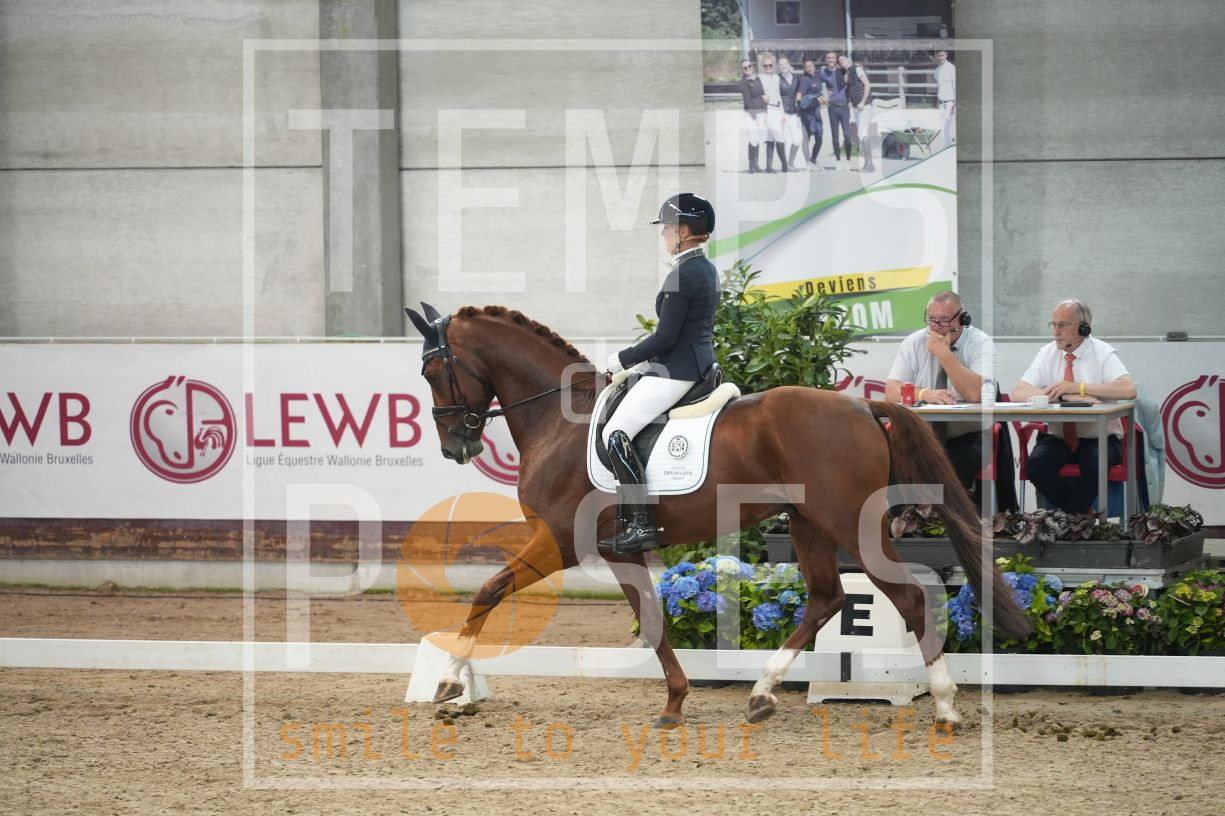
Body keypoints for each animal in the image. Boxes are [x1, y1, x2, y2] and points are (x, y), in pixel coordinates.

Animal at [405, 303, 1031, 730]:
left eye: (434, 372)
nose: (455, 446)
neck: (559, 420)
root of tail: (861, 403)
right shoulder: (615, 550)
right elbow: (653, 620)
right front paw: (675, 702)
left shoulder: (559, 541)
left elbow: (488, 591)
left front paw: (446, 683)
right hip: (808, 523)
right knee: (826, 598)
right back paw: (761, 693)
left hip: (850, 523)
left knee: (907, 597)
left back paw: (945, 706)